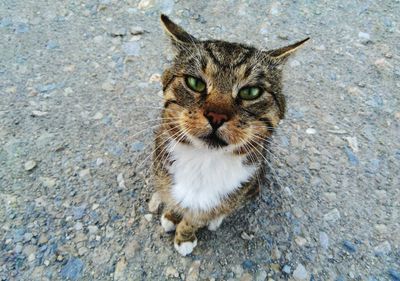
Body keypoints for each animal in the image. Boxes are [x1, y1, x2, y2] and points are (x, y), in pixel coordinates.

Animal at [152, 14, 308, 255]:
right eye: (195, 83)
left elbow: (196, 218)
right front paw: (171, 215)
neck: (202, 163)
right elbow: (172, 200)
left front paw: (185, 237)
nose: (216, 116)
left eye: (251, 92)